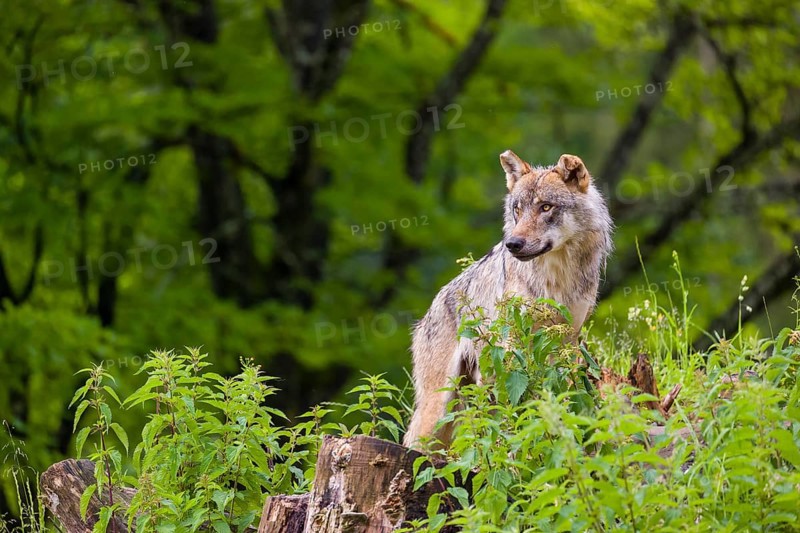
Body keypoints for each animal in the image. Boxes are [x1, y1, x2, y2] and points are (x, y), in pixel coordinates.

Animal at [403, 150, 613, 448]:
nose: (512, 244)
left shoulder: (567, 340)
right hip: (439, 406)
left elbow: (565, 391)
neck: (556, 277)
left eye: (546, 207)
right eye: (517, 209)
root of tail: (427, 314)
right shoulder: (512, 342)